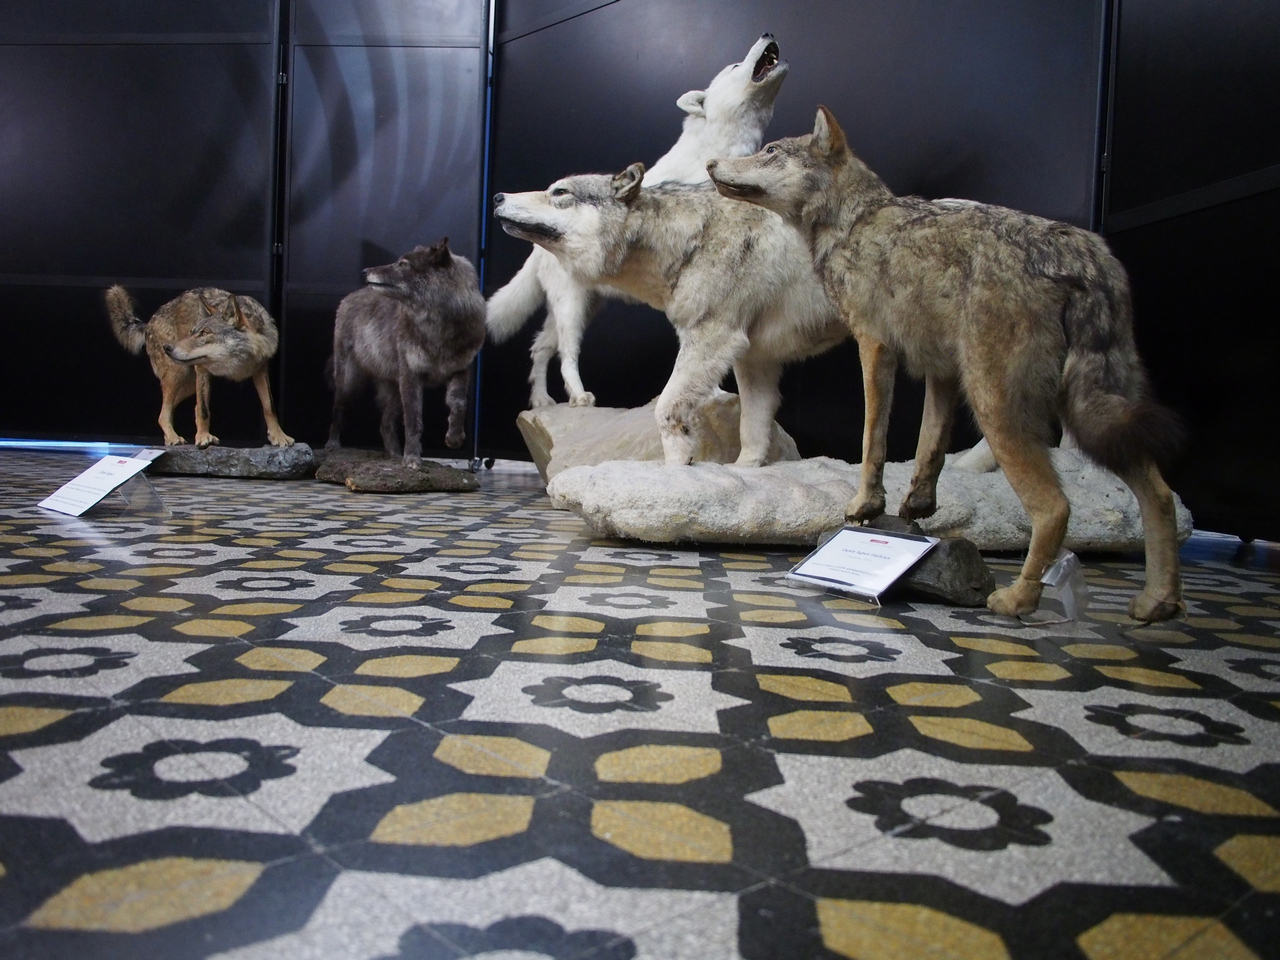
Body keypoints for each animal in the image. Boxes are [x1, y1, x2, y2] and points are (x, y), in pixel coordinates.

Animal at [106, 286, 293, 448]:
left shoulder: (261, 370)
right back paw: (174, 438)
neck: (237, 362)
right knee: (165, 413)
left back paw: (169, 439)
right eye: (192, 332)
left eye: (205, 333)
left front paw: (279, 436)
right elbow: (203, 409)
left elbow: (269, 406)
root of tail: (148, 323)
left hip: (188, 385)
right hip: (178, 375)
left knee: (167, 411)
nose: (168, 348)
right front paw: (203, 437)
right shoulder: (202, 369)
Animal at [326, 238, 486, 461]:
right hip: (349, 382)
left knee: (385, 424)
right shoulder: (411, 375)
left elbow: (459, 403)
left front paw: (454, 438)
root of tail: (348, 298)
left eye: (403, 264)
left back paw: (394, 456)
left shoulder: (460, 370)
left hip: (393, 389)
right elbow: (413, 419)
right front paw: (411, 458)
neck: (438, 329)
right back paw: (333, 444)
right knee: (338, 410)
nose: (365, 271)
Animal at [486, 34, 788, 409]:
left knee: (540, 347)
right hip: (572, 308)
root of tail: (533, 251)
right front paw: (711, 395)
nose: (768, 34)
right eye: (735, 65)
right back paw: (580, 397)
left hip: (579, 308)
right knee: (566, 354)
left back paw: (543, 402)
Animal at [492, 165, 847, 466]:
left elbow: (667, 408)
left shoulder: (714, 338)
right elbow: (752, 429)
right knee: (548, 349)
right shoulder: (753, 357)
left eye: (560, 192)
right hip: (573, 309)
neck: (692, 237)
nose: (497, 197)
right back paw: (546, 401)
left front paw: (677, 469)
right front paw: (741, 471)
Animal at [706, 106, 1184, 622]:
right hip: (1096, 416)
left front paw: (864, 506)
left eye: (770, 150)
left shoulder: (874, 346)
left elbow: (873, 439)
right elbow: (929, 445)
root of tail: (1085, 256)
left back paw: (1017, 599)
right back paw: (1159, 601)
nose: (711, 163)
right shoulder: (942, 371)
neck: (855, 223)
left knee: (1055, 507)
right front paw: (915, 506)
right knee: (1159, 496)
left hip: (998, 408)